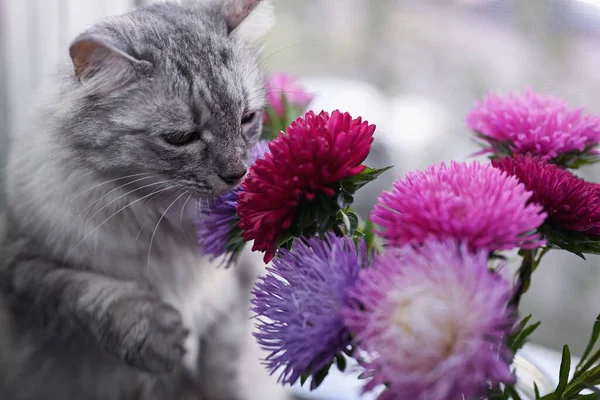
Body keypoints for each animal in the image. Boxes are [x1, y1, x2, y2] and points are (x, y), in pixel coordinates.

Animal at [0, 1, 288, 398]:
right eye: (181, 138)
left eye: (247, 118)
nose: (237, 173)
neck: (162, 221)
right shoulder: (19, 264)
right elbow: (85, 293)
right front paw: (156, 336)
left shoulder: (234, 295)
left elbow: (224, 370)